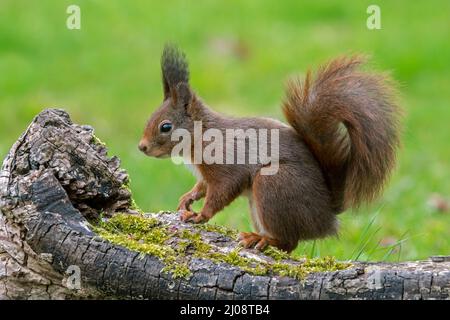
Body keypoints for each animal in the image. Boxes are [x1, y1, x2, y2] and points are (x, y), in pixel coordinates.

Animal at [138, 44, 400, 252]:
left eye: (165, 126)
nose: (142, 147)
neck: (201, 136)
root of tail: (327, 215)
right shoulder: (205, 174)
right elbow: (202, 186)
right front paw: (187, 199)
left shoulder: (227, 162)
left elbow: (222, 190)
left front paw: (201, 214)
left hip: (273, 185)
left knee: (289, 241)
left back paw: (260, 239)